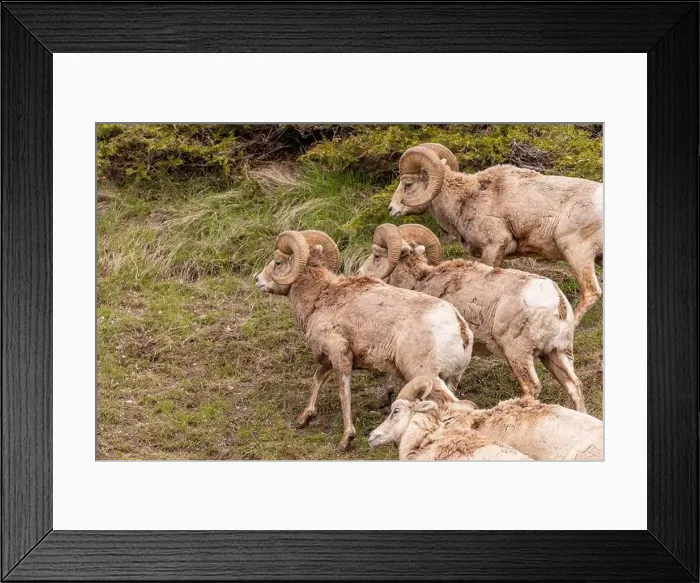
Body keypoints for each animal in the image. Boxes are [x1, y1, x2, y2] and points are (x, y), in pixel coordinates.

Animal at [254, 229, 473, 450]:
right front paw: (304, 418)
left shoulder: (340, 356)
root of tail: (459, 328)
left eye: (278, 262)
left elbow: (344, 394)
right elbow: (317, 378)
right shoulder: (331, 358)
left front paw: (346, 439)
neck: (319, 299)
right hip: (451, 379)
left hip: (424, 375)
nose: (257, 280)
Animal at [359, 223, 587, 412]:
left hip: (519, 354)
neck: (419, 281)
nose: (360, 272)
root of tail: (556, 301)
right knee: (574, 386)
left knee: (532, 387)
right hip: (556, 353)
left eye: (377, 255)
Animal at [387, 143, 603, 325]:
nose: (391, 209)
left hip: (576, 252)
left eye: (407, 184)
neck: (467, 198)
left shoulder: (493, 247)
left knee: (591, 292)